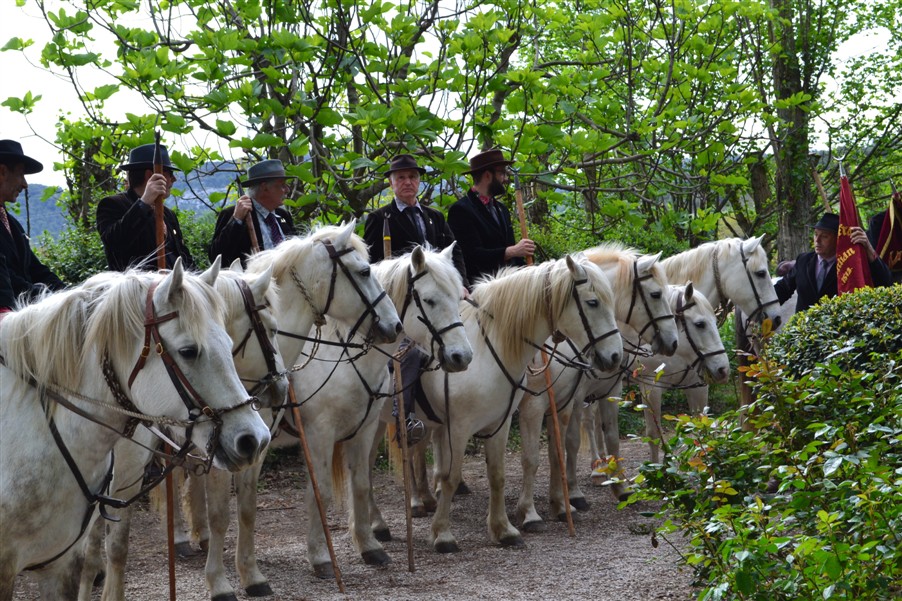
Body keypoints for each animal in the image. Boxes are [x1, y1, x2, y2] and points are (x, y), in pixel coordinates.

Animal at [288, 243, 476, 576]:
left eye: (458, 297)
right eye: (429, 300)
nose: (461, 357)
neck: (341, 355)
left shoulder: (367, 425)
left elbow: (363, 481)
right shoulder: (318, 434)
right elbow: (320, 491)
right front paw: (321, 557)